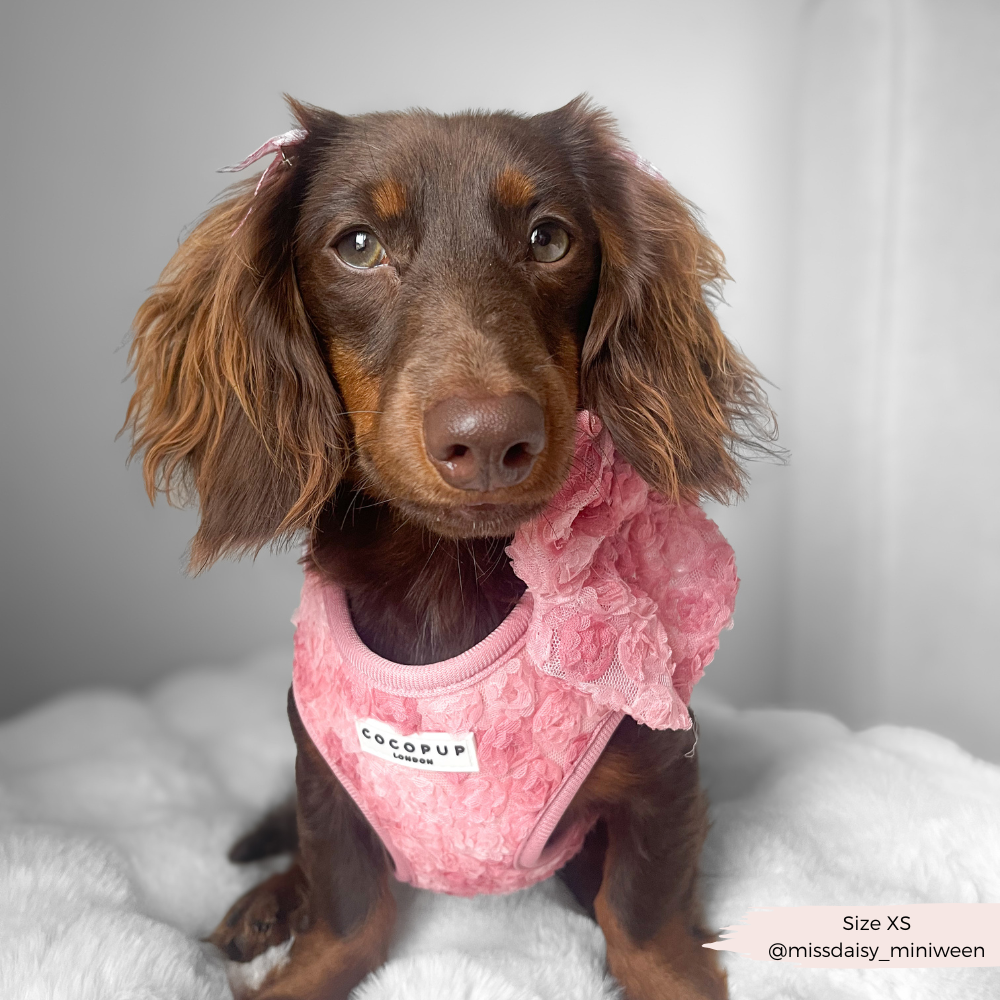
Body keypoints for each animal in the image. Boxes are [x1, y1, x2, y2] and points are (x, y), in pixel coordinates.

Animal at [125, 95, 776, 1000]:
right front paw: (300, 957)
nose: (492, 439)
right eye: (358, 244)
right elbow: (350, 913)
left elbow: (639, 919)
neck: (444, 579)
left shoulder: (664, 771)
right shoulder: (324, 776)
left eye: (549, 238)